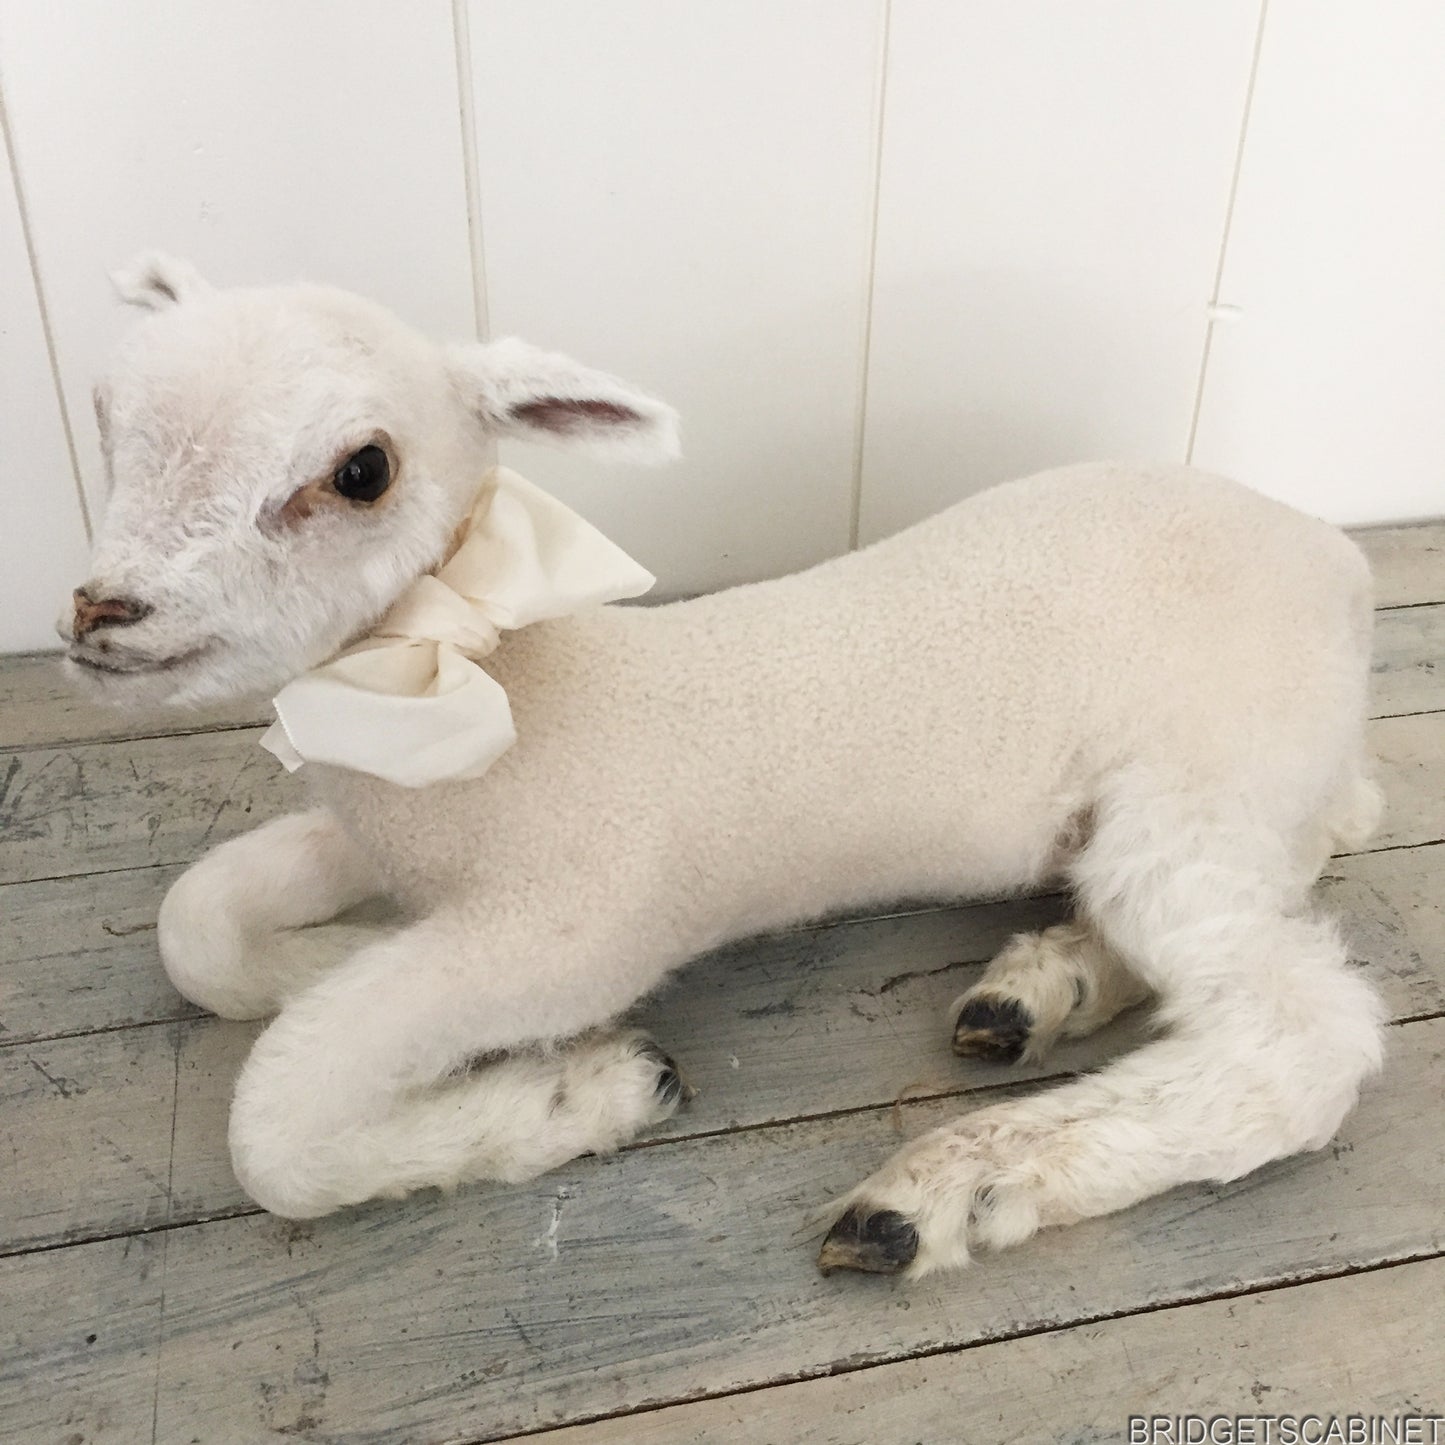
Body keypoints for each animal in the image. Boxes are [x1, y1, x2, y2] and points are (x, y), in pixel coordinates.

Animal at [61, 253, 1386, 1279]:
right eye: (106, 415)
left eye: (360, 470)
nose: (99, 611)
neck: (478, 690)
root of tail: (1333, 558)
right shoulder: (374, 829)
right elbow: (196, 923)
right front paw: (328, 955)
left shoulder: (573, 929)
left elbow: (275, 1122)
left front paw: (582, 1091)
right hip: (1237, 787)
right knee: (1319, 841)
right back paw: (1042, 988)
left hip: (1200, 774)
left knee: (1303, 1031)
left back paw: (952, 1190)